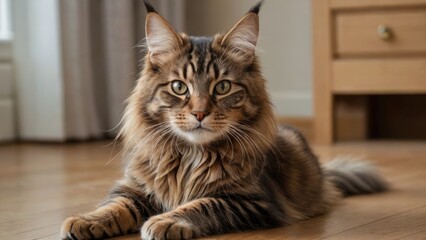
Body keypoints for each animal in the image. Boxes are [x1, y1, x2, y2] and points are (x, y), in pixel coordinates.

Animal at [60, 0, 390, 239]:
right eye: (179, 87)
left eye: (222, 87)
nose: (199, 113)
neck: (189, 156)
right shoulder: (134, 187)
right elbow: (113, 205)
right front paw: (83, 221)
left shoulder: (252, 200)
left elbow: (202, 204)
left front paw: (165, 222)